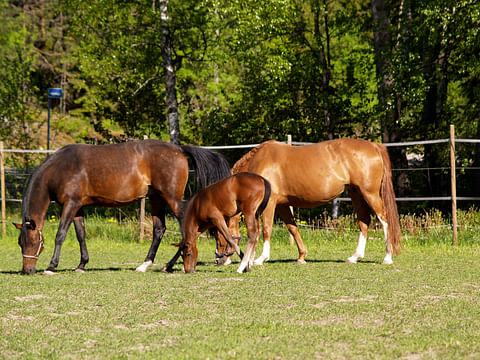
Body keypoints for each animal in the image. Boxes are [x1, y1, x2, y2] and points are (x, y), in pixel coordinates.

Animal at [13, 139, 231, 274]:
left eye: (33, 242)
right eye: (20, 243)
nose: (27, 270)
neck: (61, 168)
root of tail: (178, 150)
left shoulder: (70, 205)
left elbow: (61, 235)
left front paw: (51, 266)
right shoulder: (77, 207)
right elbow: (81, 235)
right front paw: (82, 264)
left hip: (172, 199)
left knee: (185, 230)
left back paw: (168, 265)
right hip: (156, 199)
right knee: (159, 230)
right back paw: (145, 265)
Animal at [215, 139, 402, 266]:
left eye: (219, 233)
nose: (219, 259)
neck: (259, 163)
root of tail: (374, 146)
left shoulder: (271, 204)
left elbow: (266, 229)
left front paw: (261, 258)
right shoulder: (283, 205)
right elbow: (292, 228)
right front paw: (301, 256)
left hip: (369, 193)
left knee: (384, 220)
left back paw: (387, 257)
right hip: (356, 193)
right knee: (364, 222)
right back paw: (355, 257)